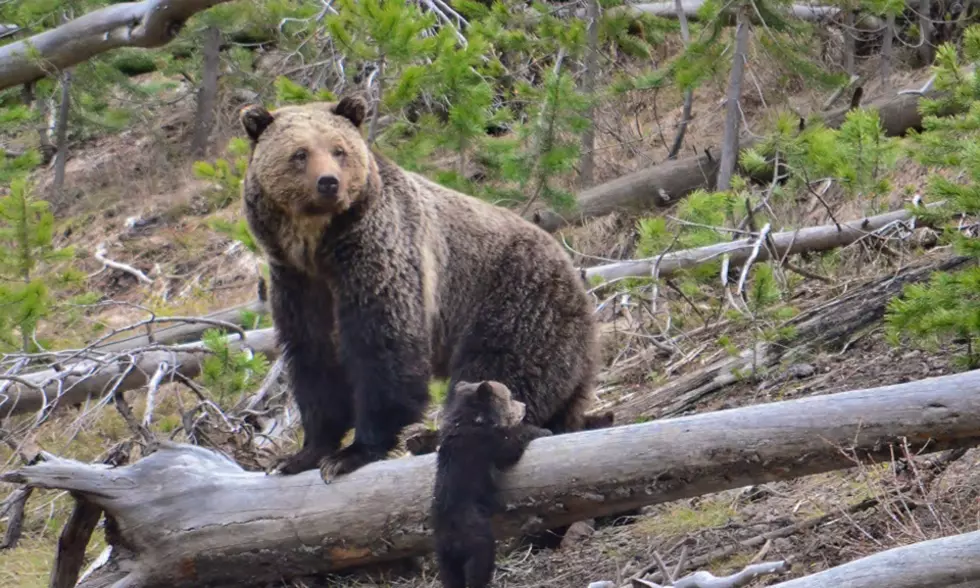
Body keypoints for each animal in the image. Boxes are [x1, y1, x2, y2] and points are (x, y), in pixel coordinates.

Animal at [241, 97, 600, 482]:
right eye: (300, 153)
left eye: (338, 150)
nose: (328, 183)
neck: (317, 246)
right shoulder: (297, 282)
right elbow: (313, 358)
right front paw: (301, 455)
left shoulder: (379, 256)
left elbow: (384, 348)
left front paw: (353, 452)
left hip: (516, 300)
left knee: (499, 371)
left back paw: (432, 436)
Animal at [430, 378, 552, 588]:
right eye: (510, 397)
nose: (524, 406)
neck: (473, 419)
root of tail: (450, 537)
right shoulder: (487, 443)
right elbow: (511, 447)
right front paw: (542, 430)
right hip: (476, 536)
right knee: (480, 564)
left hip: (444, 555)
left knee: (450, 576)